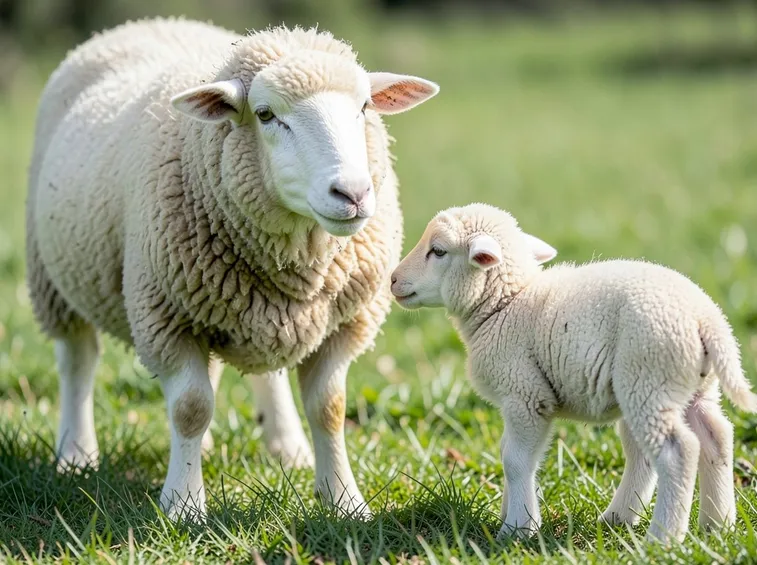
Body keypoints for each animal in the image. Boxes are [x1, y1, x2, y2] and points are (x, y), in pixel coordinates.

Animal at [26, 18, 439, 520]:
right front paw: (184, 506)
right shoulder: (166, 317)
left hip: (253, 309)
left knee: (262, 372)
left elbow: (330, 408)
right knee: (77, 360)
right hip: (52, 274)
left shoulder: (343, 323)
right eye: (264, 114)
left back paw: (286, 448)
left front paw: (344, 502)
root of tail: (148, 22)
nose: (353, 193)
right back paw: (76, 454)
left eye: (363, 107)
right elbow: (190, 408)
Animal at [390, 203, 757, 543]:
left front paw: (517, 530)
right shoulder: (518, 400)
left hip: (650, 378)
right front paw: (510, 513)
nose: (393, 279)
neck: (505, 304)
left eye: (438, 251)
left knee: (677, 451)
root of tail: (706, 320)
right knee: (715, 438)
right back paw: (715, 526)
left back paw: (662, 538)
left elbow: (514, 460)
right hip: (690, 387)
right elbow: (512, 452)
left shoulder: (526, 393)